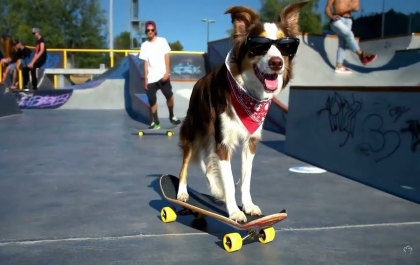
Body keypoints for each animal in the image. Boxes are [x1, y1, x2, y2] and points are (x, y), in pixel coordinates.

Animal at [177, 1, 308, 222]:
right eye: (259, 45)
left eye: (285, 45)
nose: (276, 63)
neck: (248, 93)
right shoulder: (223, 143)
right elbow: (229, 181)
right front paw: (234, 212)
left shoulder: (251, 141)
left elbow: (245, 179)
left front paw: (248, 205)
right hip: (194, 130)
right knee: (185, 163)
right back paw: (182, 193)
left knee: (208, 163)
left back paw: (215, 190)